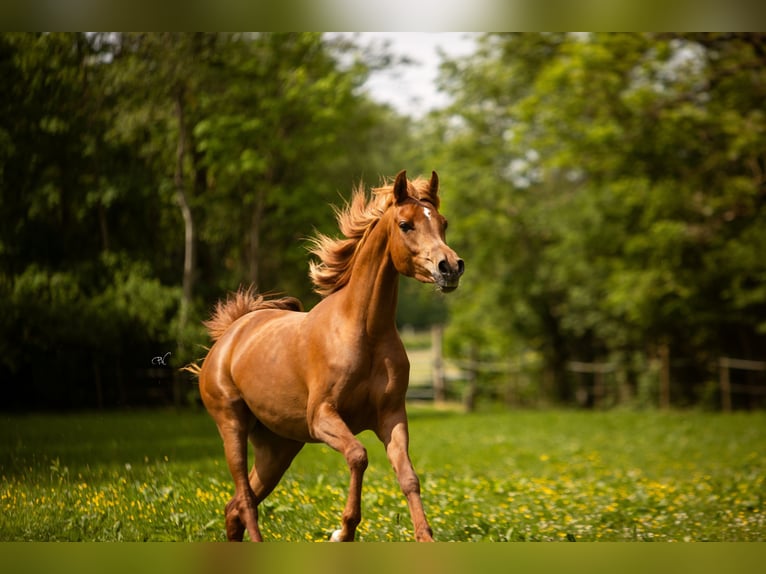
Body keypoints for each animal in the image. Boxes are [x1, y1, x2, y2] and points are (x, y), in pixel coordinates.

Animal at [194, 170, 464, 542]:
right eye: (405, 224)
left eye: (443, 222)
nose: (450, 267)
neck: (364, 332)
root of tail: (230, 335)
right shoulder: (322, 417)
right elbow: (358, 455)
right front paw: (343, 531)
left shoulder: (392, 417)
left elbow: (409, 477)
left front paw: (425, 537)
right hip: (231, 425)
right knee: (245, 502)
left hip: (278, 449)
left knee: (233, 507)